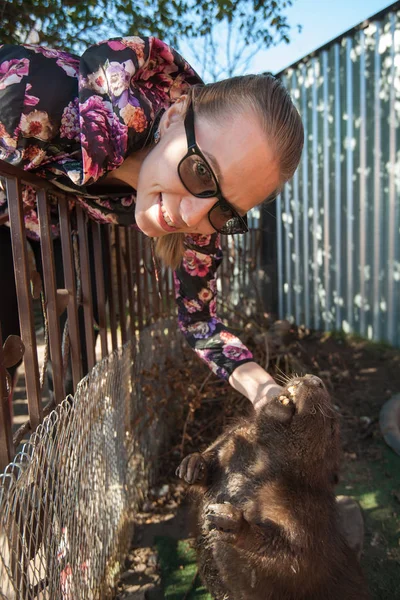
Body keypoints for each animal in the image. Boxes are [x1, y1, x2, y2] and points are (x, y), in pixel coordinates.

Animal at [177, 372, 370, 596]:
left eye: (332, 426)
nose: (316, 379)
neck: (263, 463)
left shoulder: (308, 511)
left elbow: (295, 560)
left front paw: (226, 520)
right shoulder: (234, 437)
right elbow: (215, 456)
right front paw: (192, 465)